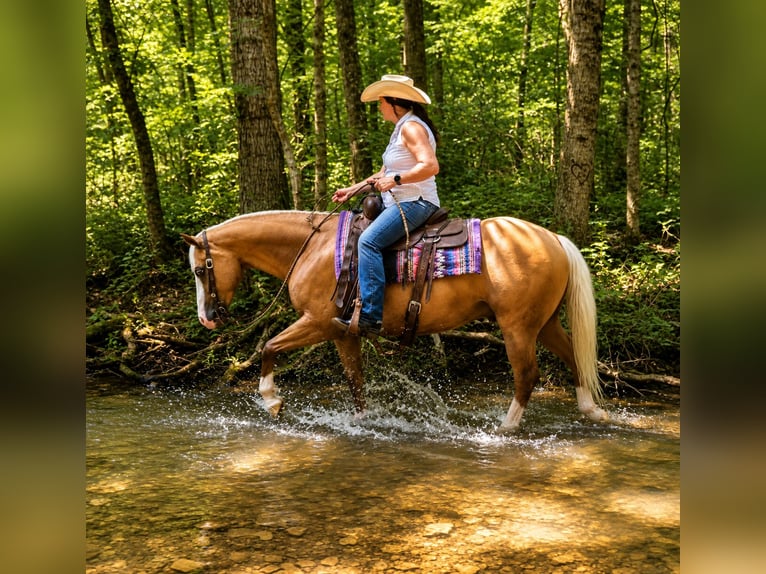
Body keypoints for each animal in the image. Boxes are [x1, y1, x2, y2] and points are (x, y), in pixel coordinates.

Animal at [181, 210, 608, 431]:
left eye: (201, 270)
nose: (207, 319)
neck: (314, 248)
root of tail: (553, 239)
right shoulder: (342, 332)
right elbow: (355, 378)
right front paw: (361, 419)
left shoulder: (317, 321)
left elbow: (268, 346)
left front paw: (271, 400)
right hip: (546, 322)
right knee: (574, 356)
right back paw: (591, 409)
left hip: (517, 327)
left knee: (526, 374)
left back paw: (505, 428)